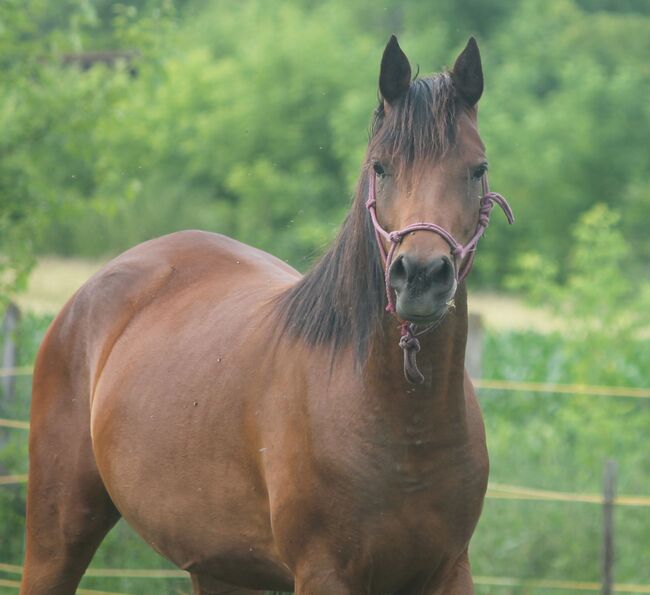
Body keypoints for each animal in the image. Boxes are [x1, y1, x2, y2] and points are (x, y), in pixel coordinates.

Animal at [22, 37, 512, 595]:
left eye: (477, 169)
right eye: (381, 167)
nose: (421, 275)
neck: (405, 424)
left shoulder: (449, 570)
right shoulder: (322, 572)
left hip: (220, 567)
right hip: (59, 533)